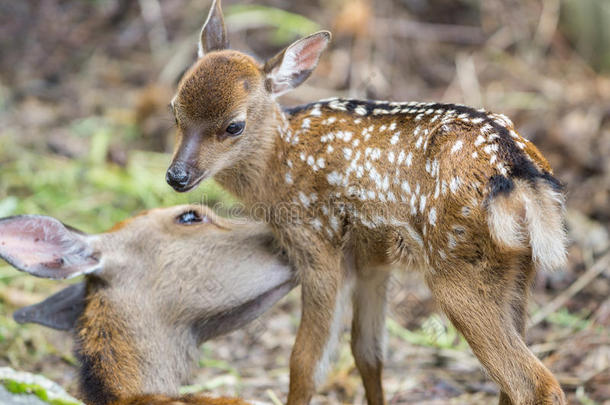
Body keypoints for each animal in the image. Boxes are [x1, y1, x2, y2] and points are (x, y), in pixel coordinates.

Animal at [165, 1, 564, 402]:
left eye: (234, 125)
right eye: (174, 109)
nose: (176, 176)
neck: (279, 163)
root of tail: (519, 169)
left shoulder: (319, 245)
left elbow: (304, 364)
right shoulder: (370, 259)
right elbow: (367, 352)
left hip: (456, 266)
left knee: (534, 382)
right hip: (516, 268)